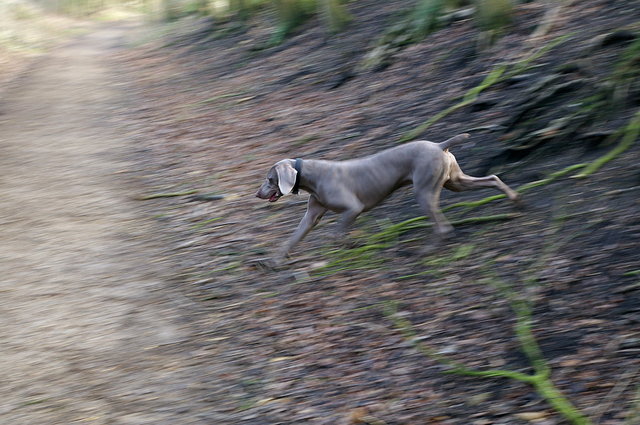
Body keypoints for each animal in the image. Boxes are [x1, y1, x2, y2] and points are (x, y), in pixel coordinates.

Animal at [255, 132, 520, 264]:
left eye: (269, 179)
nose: (256, 194)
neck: (312, 176)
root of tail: (438, 145)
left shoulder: (353, 208)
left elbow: (335, 234)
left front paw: (351, 244)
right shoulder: (312, 216)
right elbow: (293, 238)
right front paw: (274, 261)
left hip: (425, 191)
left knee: (443, 227)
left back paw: (426, 251)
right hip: (455, 182)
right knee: (492, 178)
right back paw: (515, 199)